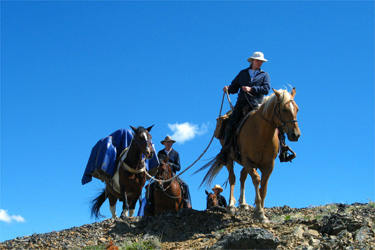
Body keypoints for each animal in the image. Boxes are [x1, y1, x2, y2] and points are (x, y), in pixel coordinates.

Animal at [198, 88, 302, 223]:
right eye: (284, 109)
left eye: (297, 109)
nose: (296, 135)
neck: (263, 134)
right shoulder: (248, 160)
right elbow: (257, 180)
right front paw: (259, 212)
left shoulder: (268, 165)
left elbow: (263, 188)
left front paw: (261, 212)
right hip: (230, 158)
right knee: (232, 178)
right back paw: (231, 206)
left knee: (242, 176)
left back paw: (243, 203)